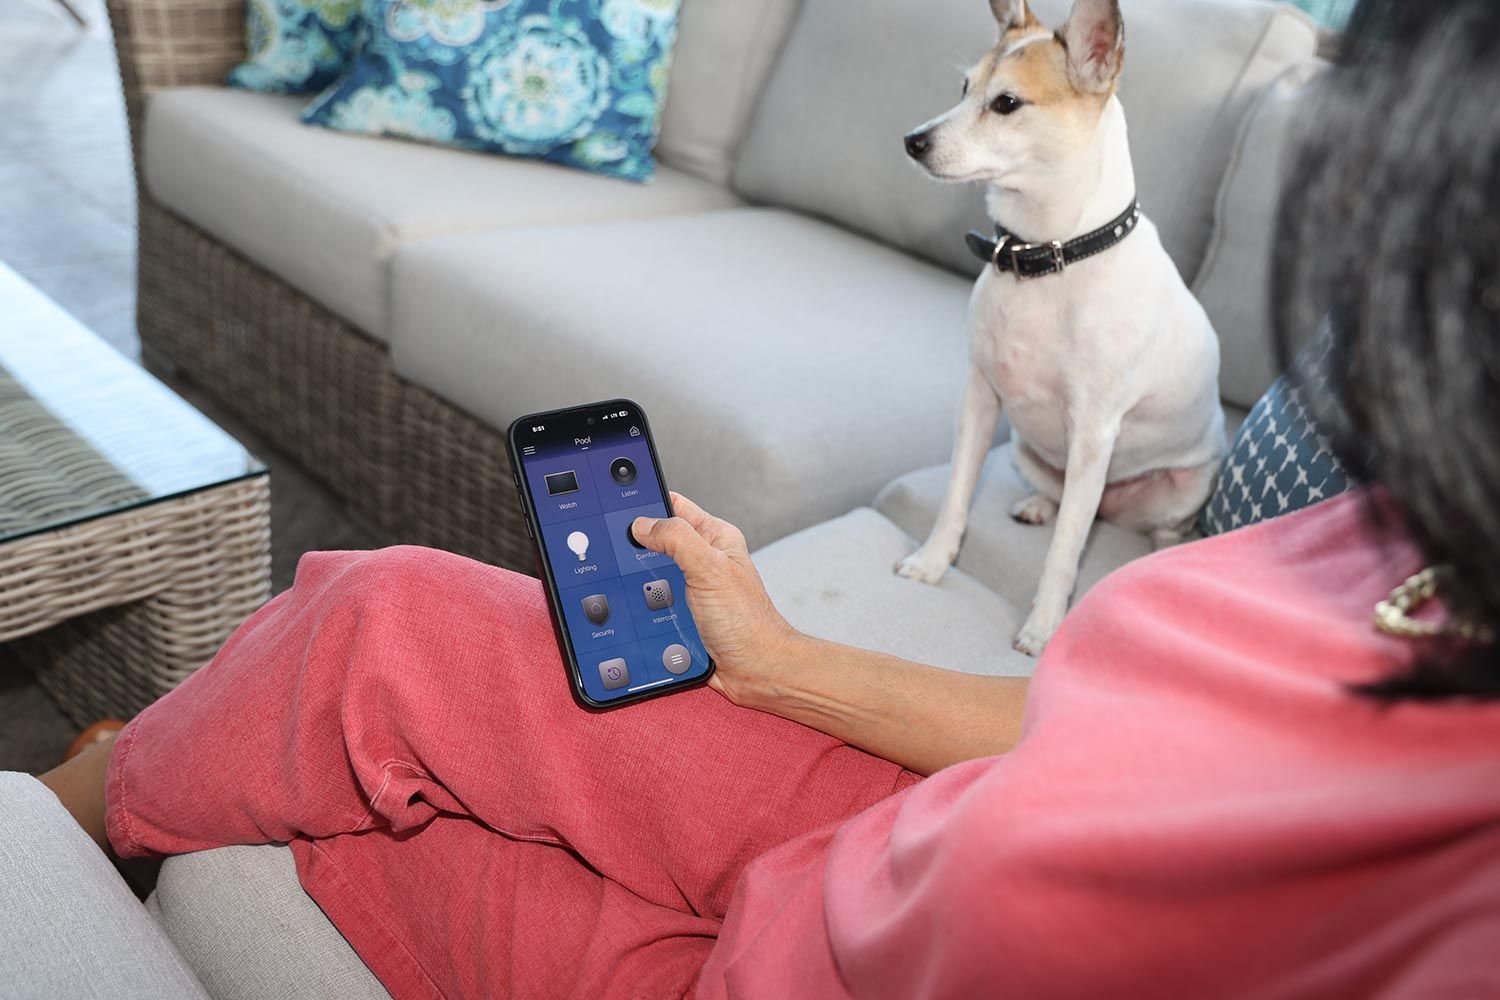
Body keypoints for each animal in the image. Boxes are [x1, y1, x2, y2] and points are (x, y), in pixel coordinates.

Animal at [894, 0, 1224, 656]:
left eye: (1006, 103)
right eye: (963, 88)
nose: (914, 141)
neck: (1046, 254)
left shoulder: (1093, 433)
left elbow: (1066, 553)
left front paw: (1044, 627)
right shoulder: (979, 401)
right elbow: (956, 496)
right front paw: (933, 561)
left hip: (1185, 484)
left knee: (1145, 527)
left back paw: (1160, 549)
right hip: (1025, 450)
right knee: (1061, 498)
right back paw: (1038, 506)